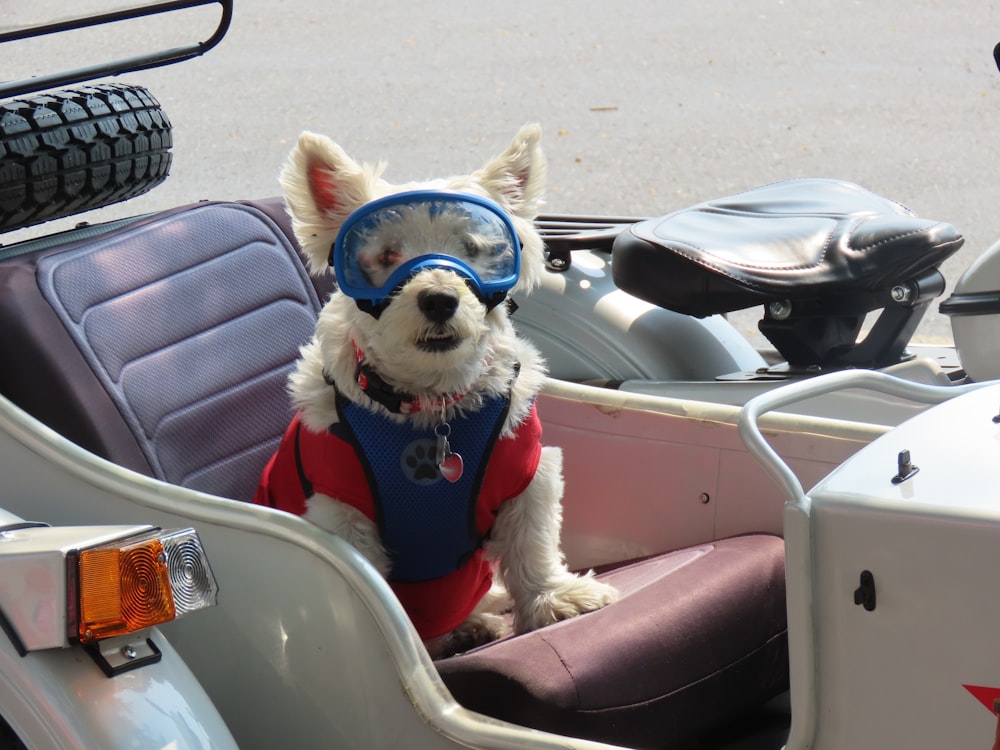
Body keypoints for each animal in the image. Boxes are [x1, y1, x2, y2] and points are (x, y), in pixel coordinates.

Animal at [256, 125, 616, 656]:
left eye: (475, 248)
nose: (440, 299)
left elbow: (533, 544)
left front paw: (556, 599)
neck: (430, 402)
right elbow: (371, 598)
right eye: (385, 256)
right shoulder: (341, 513)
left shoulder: (527, 473)